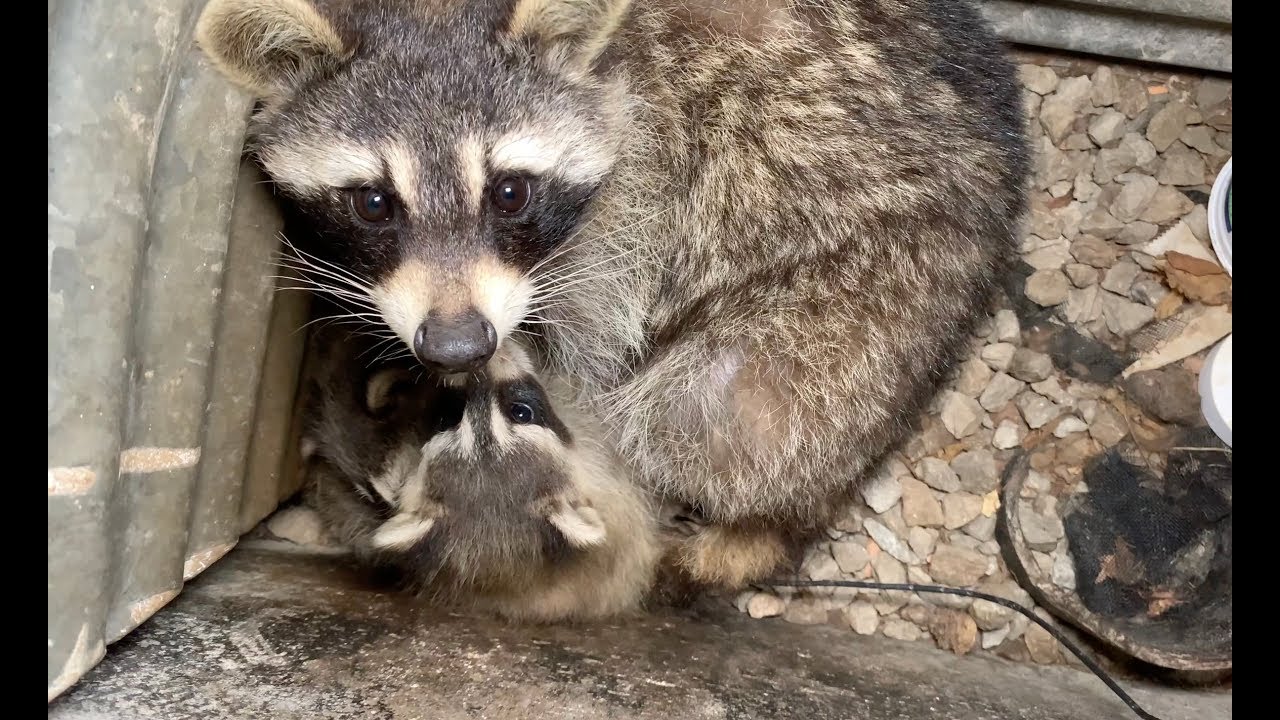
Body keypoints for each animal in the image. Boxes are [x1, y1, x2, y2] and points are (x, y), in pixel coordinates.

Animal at [199, 0, 1029, 588]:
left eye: (510, 192)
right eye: (373, 203)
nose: (458, 346)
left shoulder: (633, 205)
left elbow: (590, 364)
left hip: (871, 298)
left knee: (709, 414)